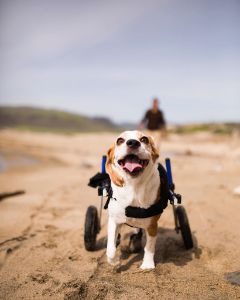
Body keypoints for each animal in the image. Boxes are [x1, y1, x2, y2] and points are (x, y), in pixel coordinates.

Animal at [105, 130, 160, 268]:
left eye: (144, 139)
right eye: (120, 140)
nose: (133, 142)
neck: (134, 186)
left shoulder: (152, 225)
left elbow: (149, 246)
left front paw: (147, 265)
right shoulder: (114, 220)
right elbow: (110, 248)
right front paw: (114, 262)